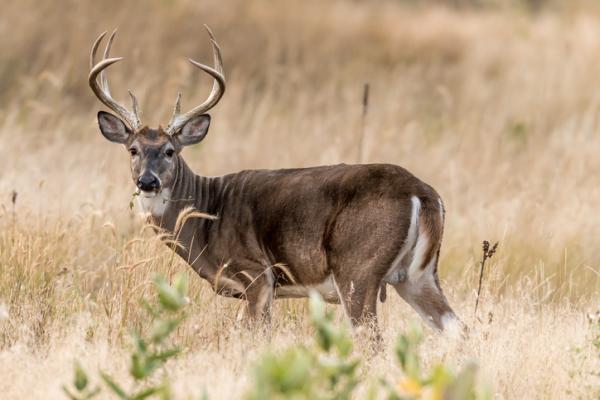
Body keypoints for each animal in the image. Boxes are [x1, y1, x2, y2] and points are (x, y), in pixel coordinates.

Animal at [90, 27, 464, 334]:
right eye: (133, 149)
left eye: (169, 151)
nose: (147, 181)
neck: (206, 218)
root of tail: (422, 193)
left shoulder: (256, 275)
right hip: (419, 275)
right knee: (457, 330)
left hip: (358, 267)